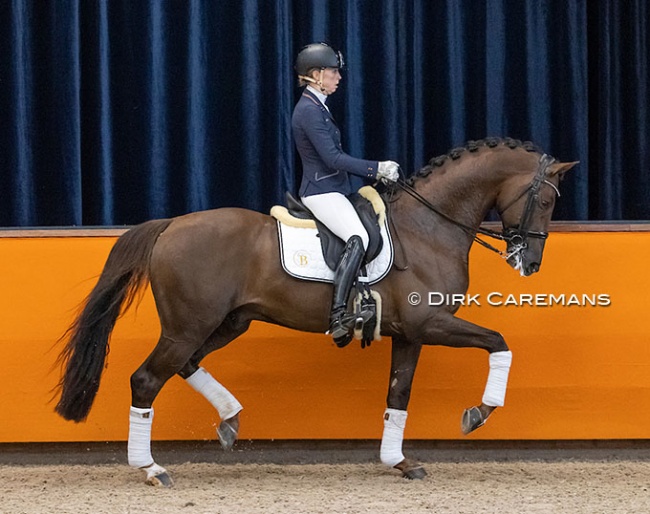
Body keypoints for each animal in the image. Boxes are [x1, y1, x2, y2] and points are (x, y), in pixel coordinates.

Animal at [54, 136, 572, 484]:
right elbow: (499, 344)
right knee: (147, 379)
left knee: (185, 365)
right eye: (546, 200)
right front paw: (478, 414)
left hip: (225, 322)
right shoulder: (432, 323)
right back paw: (152, 468)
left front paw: (400, 462)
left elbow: (398, 396)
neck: (429, 226)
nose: (530, 262)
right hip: (188, 325)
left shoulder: (410, 333)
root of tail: (170, 226)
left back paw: (230, 419)